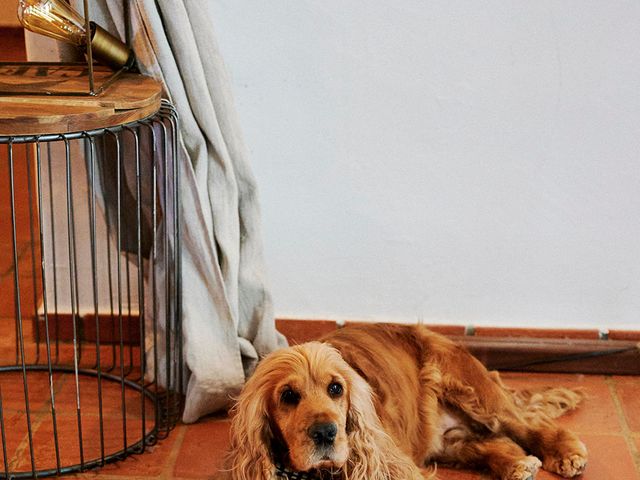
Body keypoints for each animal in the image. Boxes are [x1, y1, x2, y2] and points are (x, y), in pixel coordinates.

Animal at [228, 322, 588, 480]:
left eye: (336, 389)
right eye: (288, 396)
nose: (326, 433)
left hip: (474, 392)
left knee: (530, 425)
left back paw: (565, 454)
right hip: (448, 441)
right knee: (493, 444)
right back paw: (518, 465)